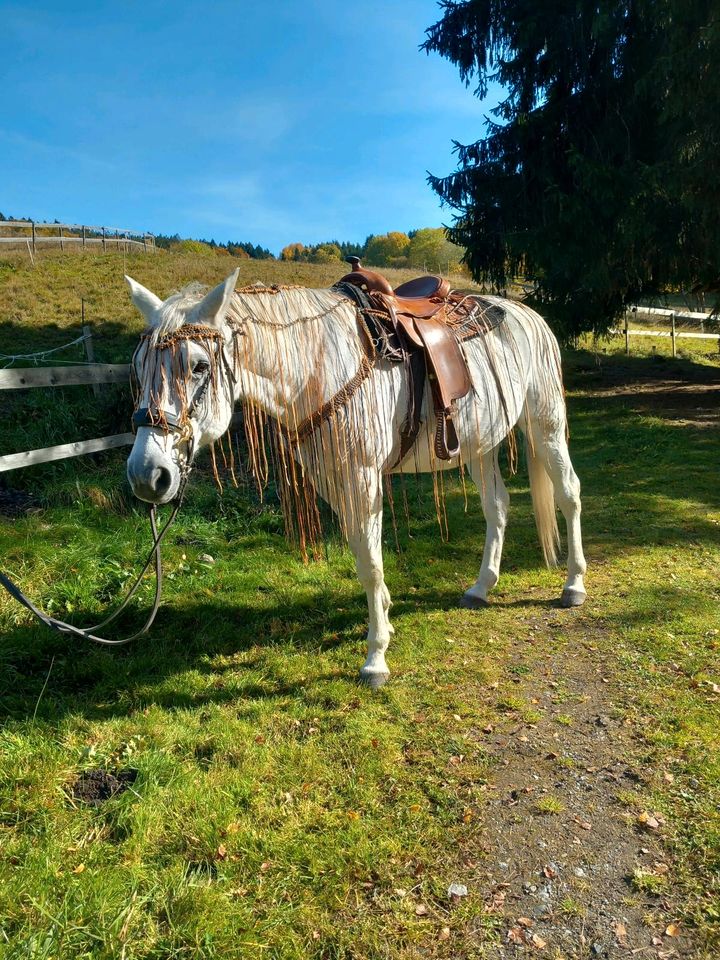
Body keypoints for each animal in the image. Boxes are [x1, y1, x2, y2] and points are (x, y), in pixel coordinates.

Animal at [124, 270, 584, 688]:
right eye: (140, 367)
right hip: (479, 445)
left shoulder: (361, 476)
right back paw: (481, 587)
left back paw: (573, 584)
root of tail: (529, 314)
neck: (318, 366)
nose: (147, 475)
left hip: (544, 424)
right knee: (497, 507)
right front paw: (386, 617)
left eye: (199, 366)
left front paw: (376, 657)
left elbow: (370, 563)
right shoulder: (333, 478)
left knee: (569, 494)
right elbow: (365, 553)